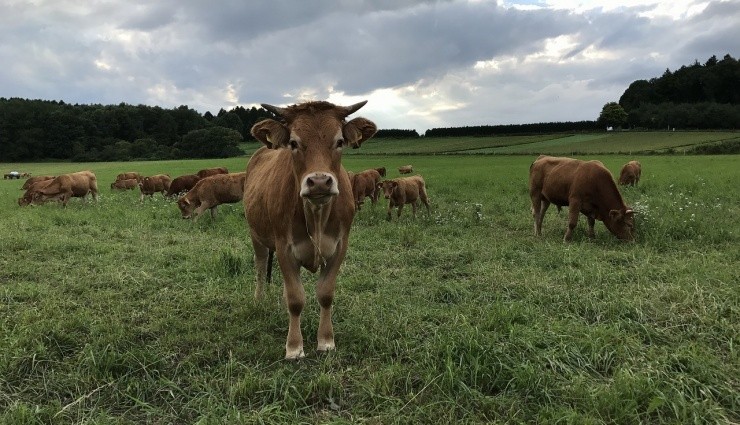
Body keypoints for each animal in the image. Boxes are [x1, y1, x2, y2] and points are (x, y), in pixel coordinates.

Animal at [246, 99, 378, 358]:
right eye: (294, 143)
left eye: (339, 141)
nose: (318, 182)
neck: (316, 215)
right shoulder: (284, 247)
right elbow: (296, 299)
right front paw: (294, 346)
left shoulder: (340, 246)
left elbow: (325, 294)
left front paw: (326, 341)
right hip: (257, 236)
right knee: (260, 267)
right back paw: (258, 300)